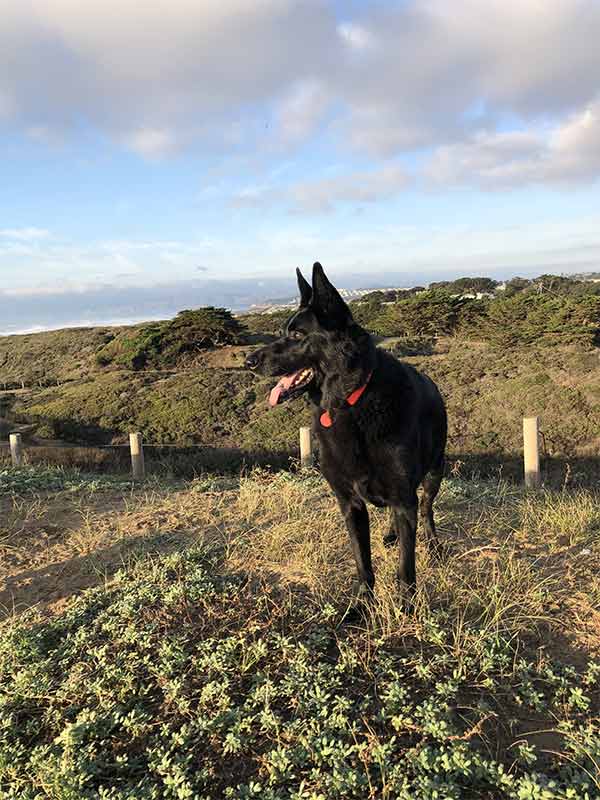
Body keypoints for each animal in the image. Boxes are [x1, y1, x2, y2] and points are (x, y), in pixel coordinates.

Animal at [244, 266, 446, 616]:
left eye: (297, 335)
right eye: (283, 331)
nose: (249, 361)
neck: (351, 401)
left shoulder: (404, 497)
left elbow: (405, 566)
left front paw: (406, 608)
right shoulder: (350, 503)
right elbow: (362, 562)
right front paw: (363, 604)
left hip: (434, 472)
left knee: (427, 508)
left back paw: (432, 543)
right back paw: (391, 535)